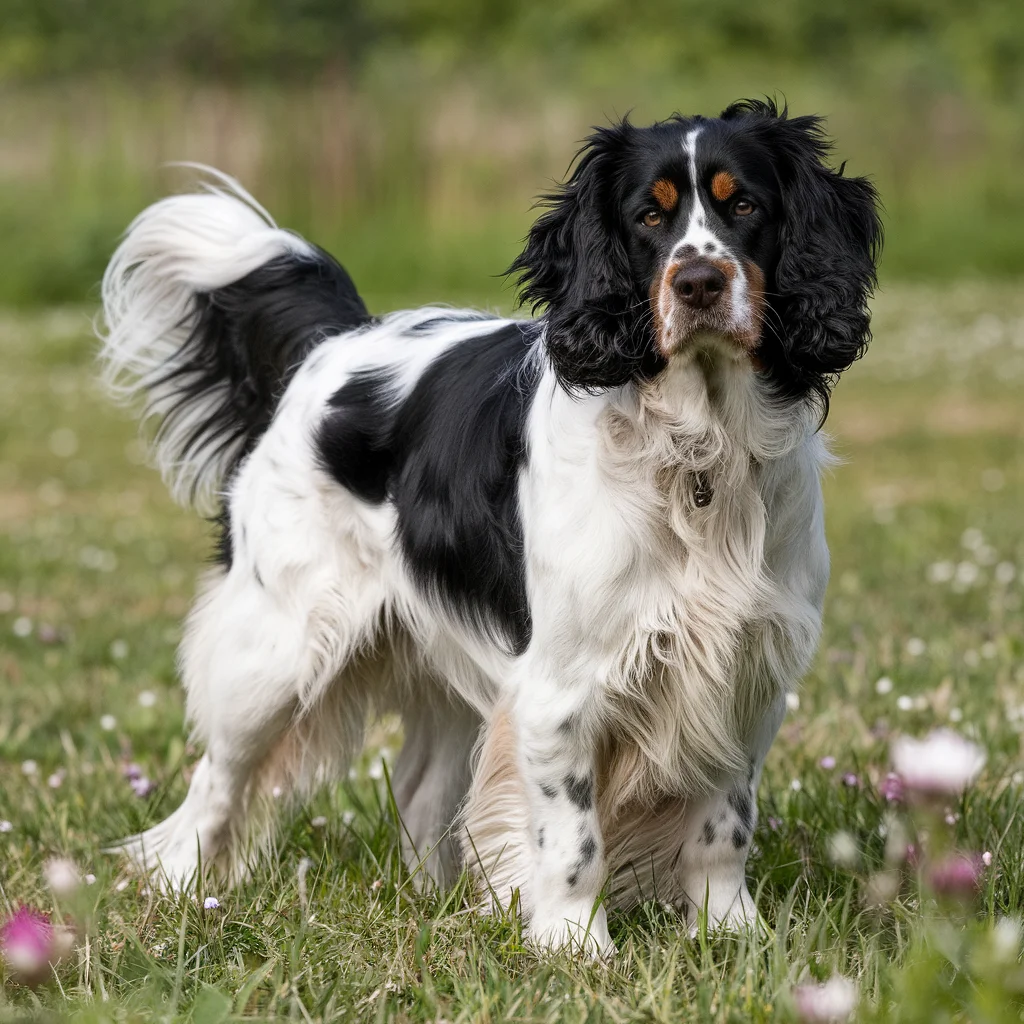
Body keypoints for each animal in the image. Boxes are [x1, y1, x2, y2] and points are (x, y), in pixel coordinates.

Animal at [97, 99, 880, 954]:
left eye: (746, 207)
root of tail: (336, 343)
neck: (696, 451)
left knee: (420, 788)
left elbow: (723, 825)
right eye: (648, 216)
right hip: (274, 653)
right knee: (213, 783)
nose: (699, 280)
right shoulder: (561, 689)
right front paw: (576, 944)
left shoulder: (744, 673)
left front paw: (732, 933)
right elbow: (573, 839)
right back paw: (181, 891)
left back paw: (439, 901)